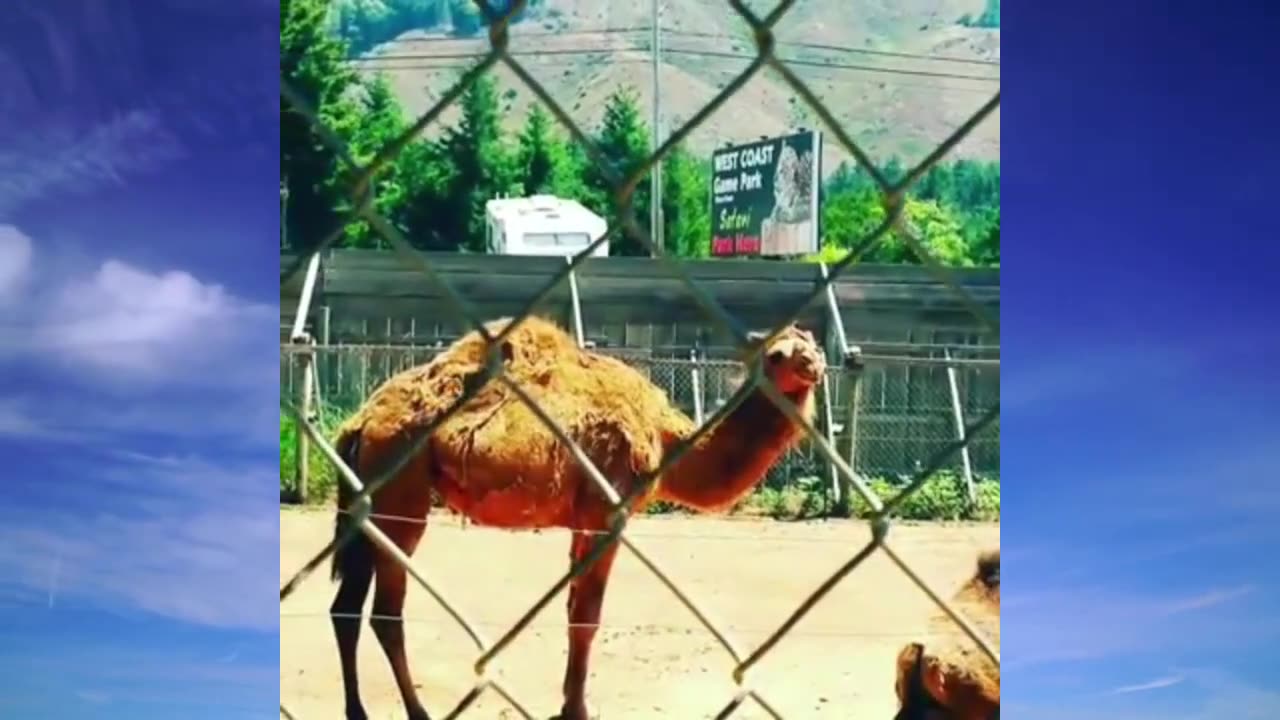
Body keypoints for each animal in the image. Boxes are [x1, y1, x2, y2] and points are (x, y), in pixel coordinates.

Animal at [327, 316, 826, 720]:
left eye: (811, 344)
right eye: (777, 355)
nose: (813, 365)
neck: (666, 442)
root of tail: (359, 423)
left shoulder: (585, 519)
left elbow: (573, 609)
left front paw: (569, 704)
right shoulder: (607, 511)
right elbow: (587, 615)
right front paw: (577, 710)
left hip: (370, 500)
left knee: (346, 606)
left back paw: (357, 711)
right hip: (400, 491)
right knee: (386, 612)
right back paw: (417, 711)